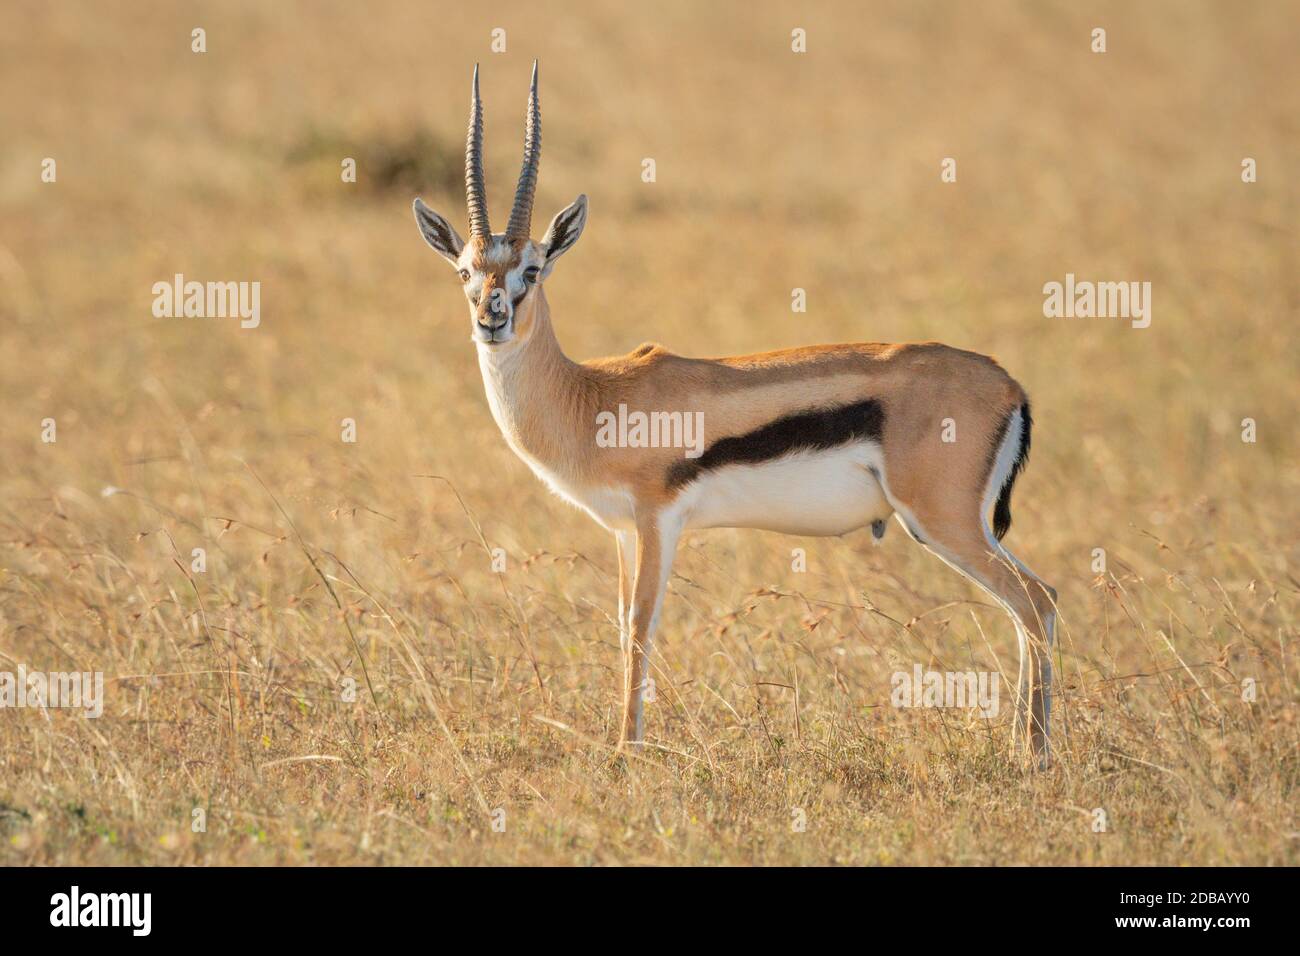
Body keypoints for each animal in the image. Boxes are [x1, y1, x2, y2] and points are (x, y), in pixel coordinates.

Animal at [412, 63, 1058, 763]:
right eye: (465, 271)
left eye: (531, 269)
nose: (492, 318)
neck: (590, 396)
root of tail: (1011, 386)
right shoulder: (622, 532)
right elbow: (621, 625)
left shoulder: (657, 521)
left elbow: (640, 627)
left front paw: (626, 753)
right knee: (1035, 604)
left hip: (942, 522)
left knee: (1034, 603)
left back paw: (1033, 756)